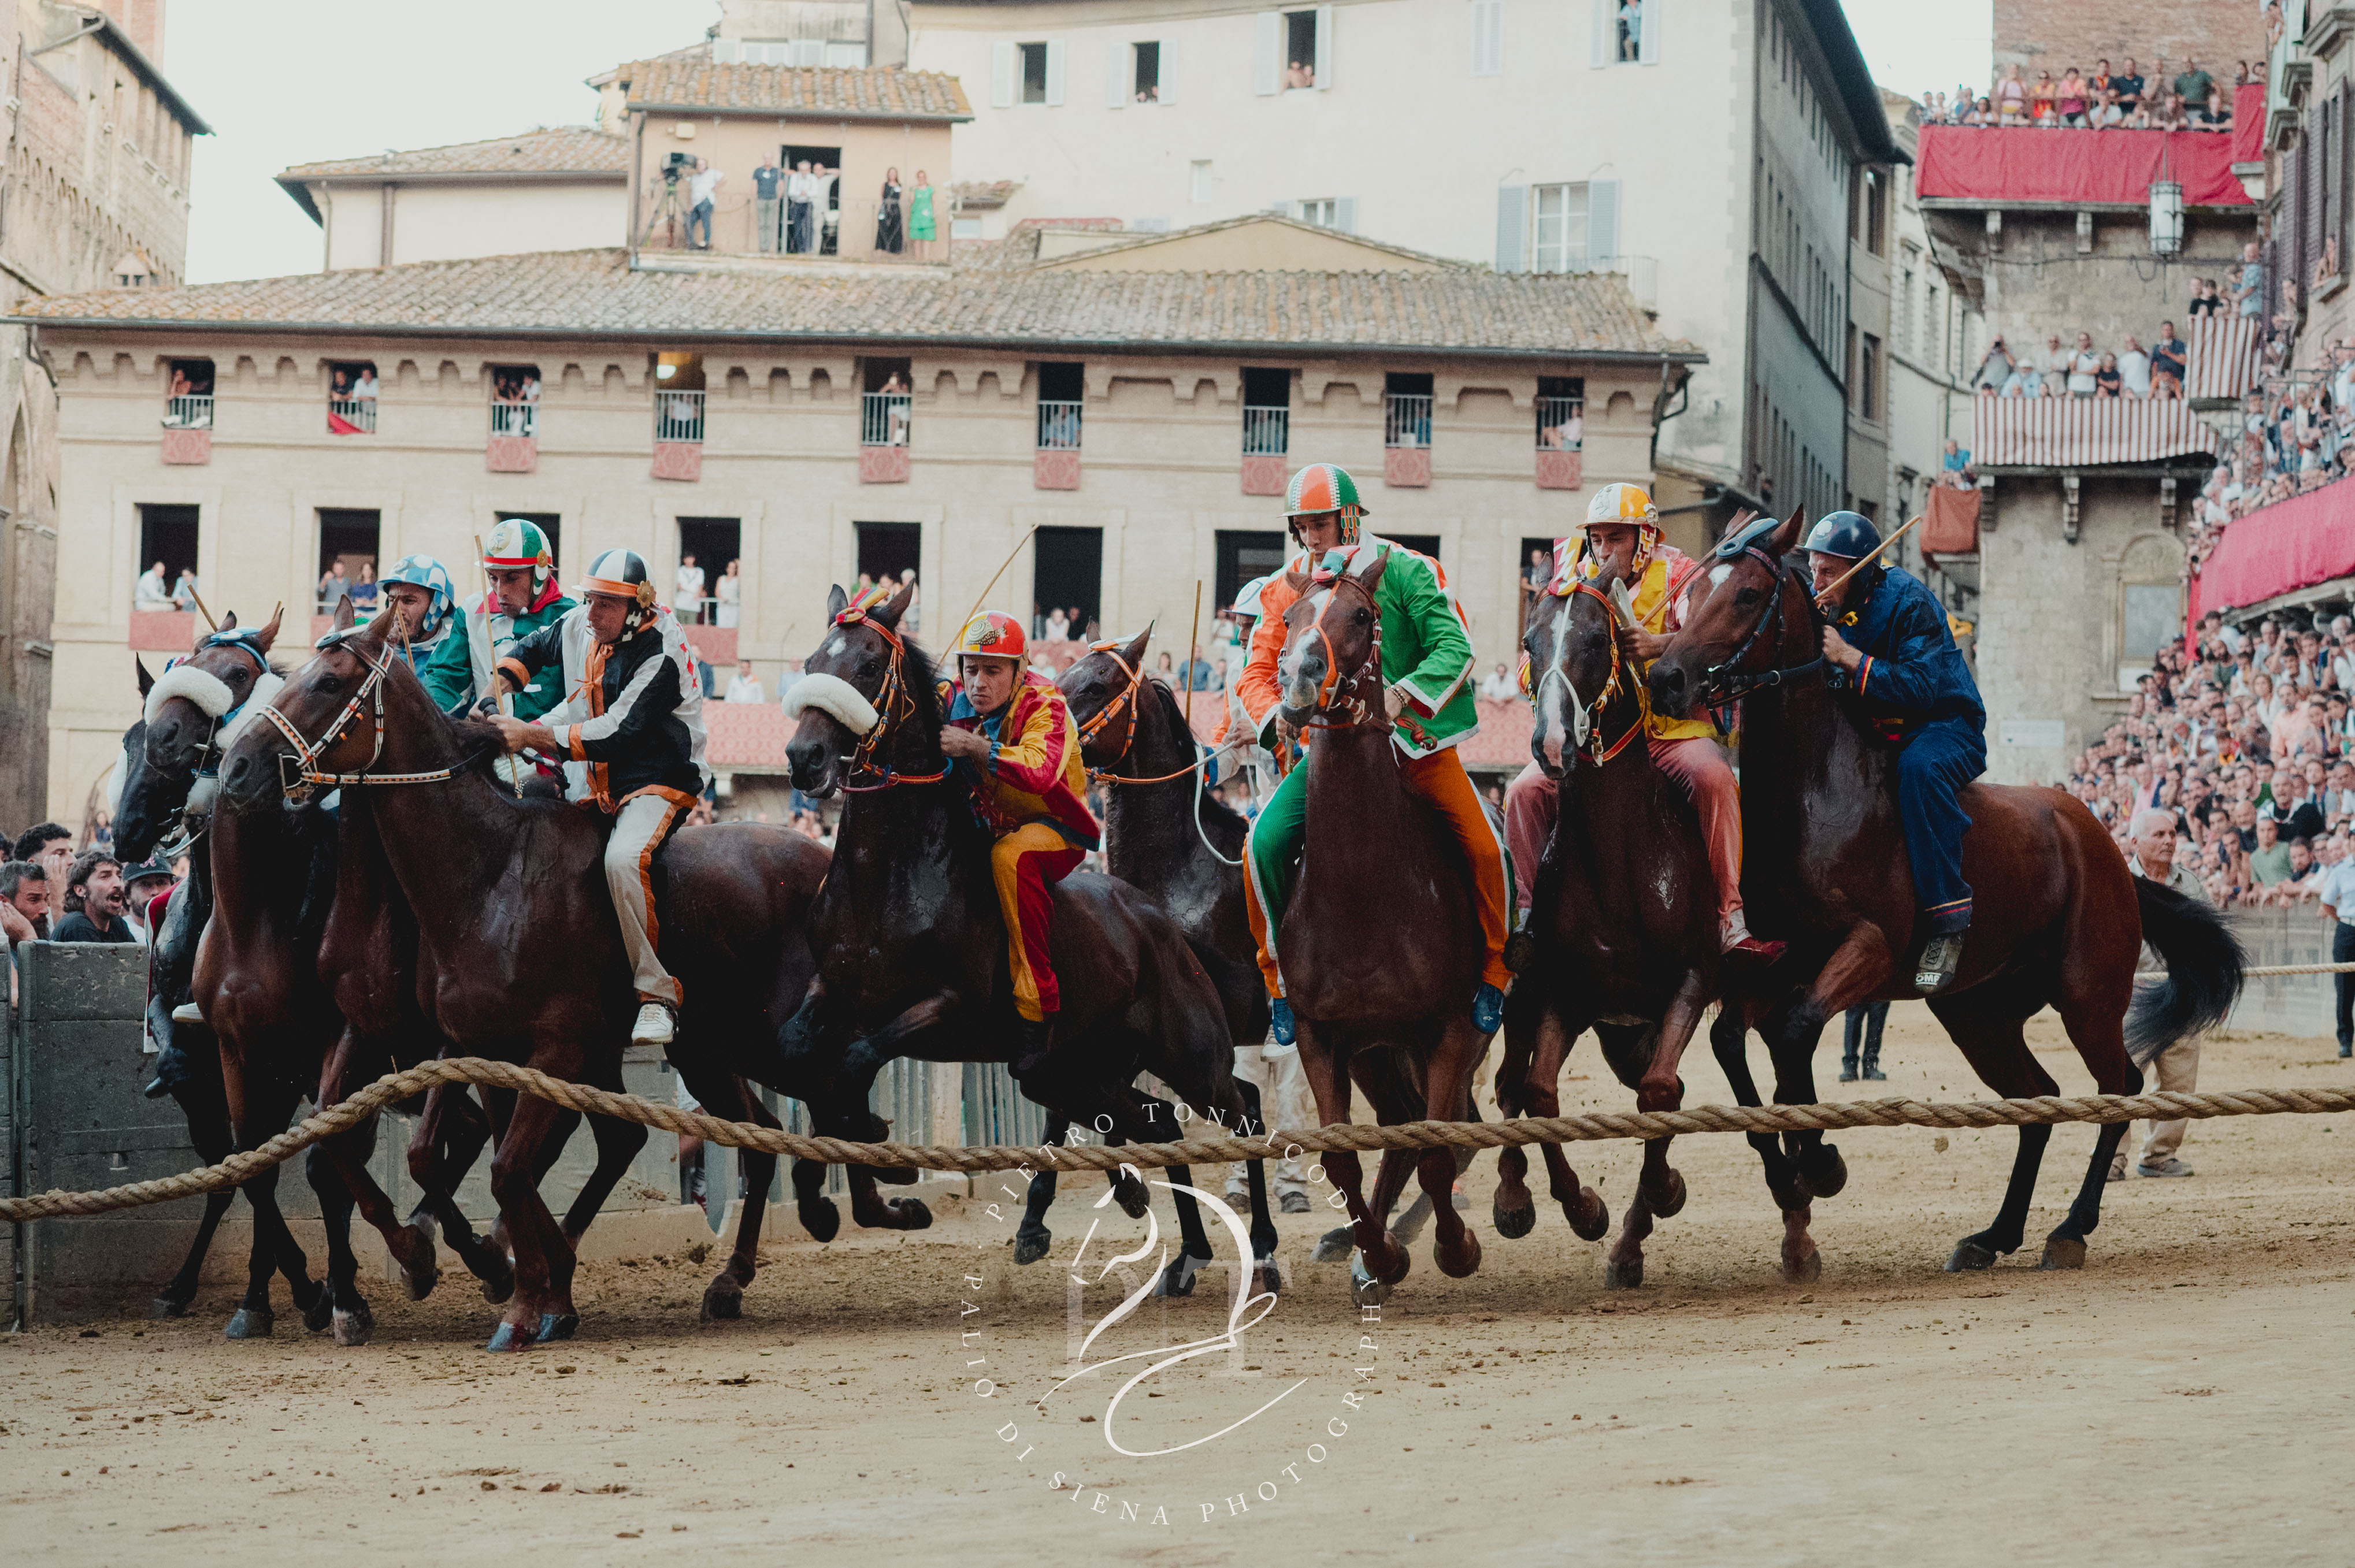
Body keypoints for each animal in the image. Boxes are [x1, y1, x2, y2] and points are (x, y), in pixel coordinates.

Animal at [221, 598, 829, 1346]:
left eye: (329, 682)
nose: (238, 765)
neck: (489, 876)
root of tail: (818, 857)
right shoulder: (468, 1047)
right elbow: (463, 1161)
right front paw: (519, 1279)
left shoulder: (547, 1047)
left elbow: (504, 1167)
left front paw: (508, 1278)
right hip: (706, 1048)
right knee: (742, 1135)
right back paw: (728, 1276)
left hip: (764, 1037)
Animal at [781, 579, 1281, 1290]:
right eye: (811, 661)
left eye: (870, 665)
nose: (805, 758)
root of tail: (1153, 920)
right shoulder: (834, 989)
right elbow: (802, 1054)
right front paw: (830, 1188)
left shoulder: (949, 1005)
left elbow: (854, 1061)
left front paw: (882, 1152)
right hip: (1084, 1058)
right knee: (1151, 1118)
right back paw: (1180, 1241)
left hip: (1190, 1051)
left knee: (1242, 1108)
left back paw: (1264, 1247)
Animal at [1497, 572, 1723, 1280]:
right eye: (1529, 641)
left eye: (1599, 639)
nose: (1550, 743)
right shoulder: (1564, 992)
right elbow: (1540, 1096)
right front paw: (1583, 1208)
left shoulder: (1692, 978)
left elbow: (1661, 1091)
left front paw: (1661, 1190)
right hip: (1544, 1000)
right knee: (1508, 1082)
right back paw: (1511, 1199)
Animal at [1648, 513, 2232, 1271]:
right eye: (1693, 592)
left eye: (1747, 593)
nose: (1665, 676)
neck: (1816, 794)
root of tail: (2107, 849)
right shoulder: (1774, 957)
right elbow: (1733, 1041)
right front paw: (1790, 1164)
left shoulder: (1867, 947)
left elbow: (1795, 1030)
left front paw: (1818, 1159)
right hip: (1977, 1011)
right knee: (2038, 1100)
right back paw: (1993, 1233)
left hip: (2088, 994)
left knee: (2118, 1089)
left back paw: (2070, 1227)